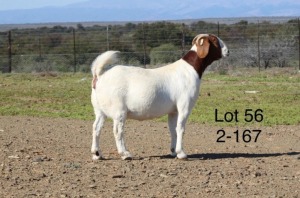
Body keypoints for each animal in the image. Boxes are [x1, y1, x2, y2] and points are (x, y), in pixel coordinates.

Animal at [90, 33, 229, 159]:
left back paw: (97, 154)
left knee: (96, 128)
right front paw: (181, 153)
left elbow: (173, 129)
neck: (189, 69)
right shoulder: (184, 106)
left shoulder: (173, 111)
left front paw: (173, 151)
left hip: (99, 110)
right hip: (119, 110)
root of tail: (99, 75)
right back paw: (125, 154)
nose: (227, 51)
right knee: (117, 131)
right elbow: (180, 128)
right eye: (214, 40)